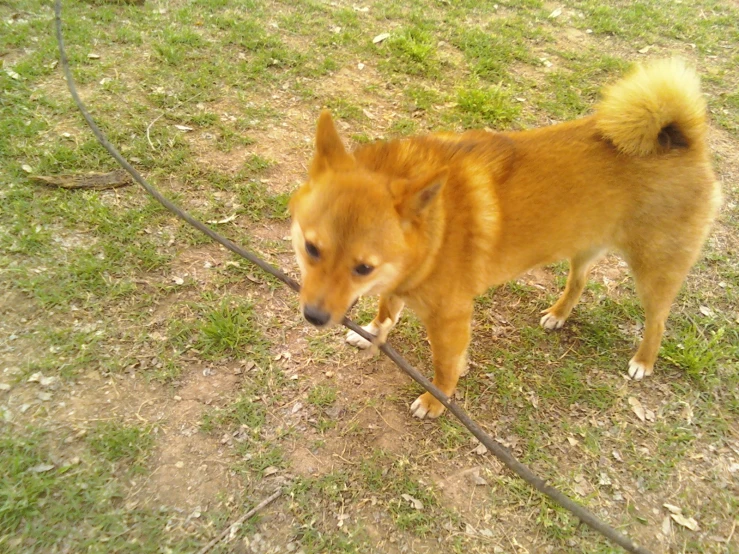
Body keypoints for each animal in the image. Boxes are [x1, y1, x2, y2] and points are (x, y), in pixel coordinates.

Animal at [288, 57, 724, 418]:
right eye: (311, 248)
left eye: (363, 267)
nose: (314, 317)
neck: (436, 228)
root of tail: (681, 141)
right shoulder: (399, 283)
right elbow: (386, 309)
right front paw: (373, 332)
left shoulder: (450, 319)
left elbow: (444, 368)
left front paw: (436, 402)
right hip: (584, 247)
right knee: (579, 282)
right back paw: (559, 314)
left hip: (655, 272)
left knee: (658, 322)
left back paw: (643, 361)